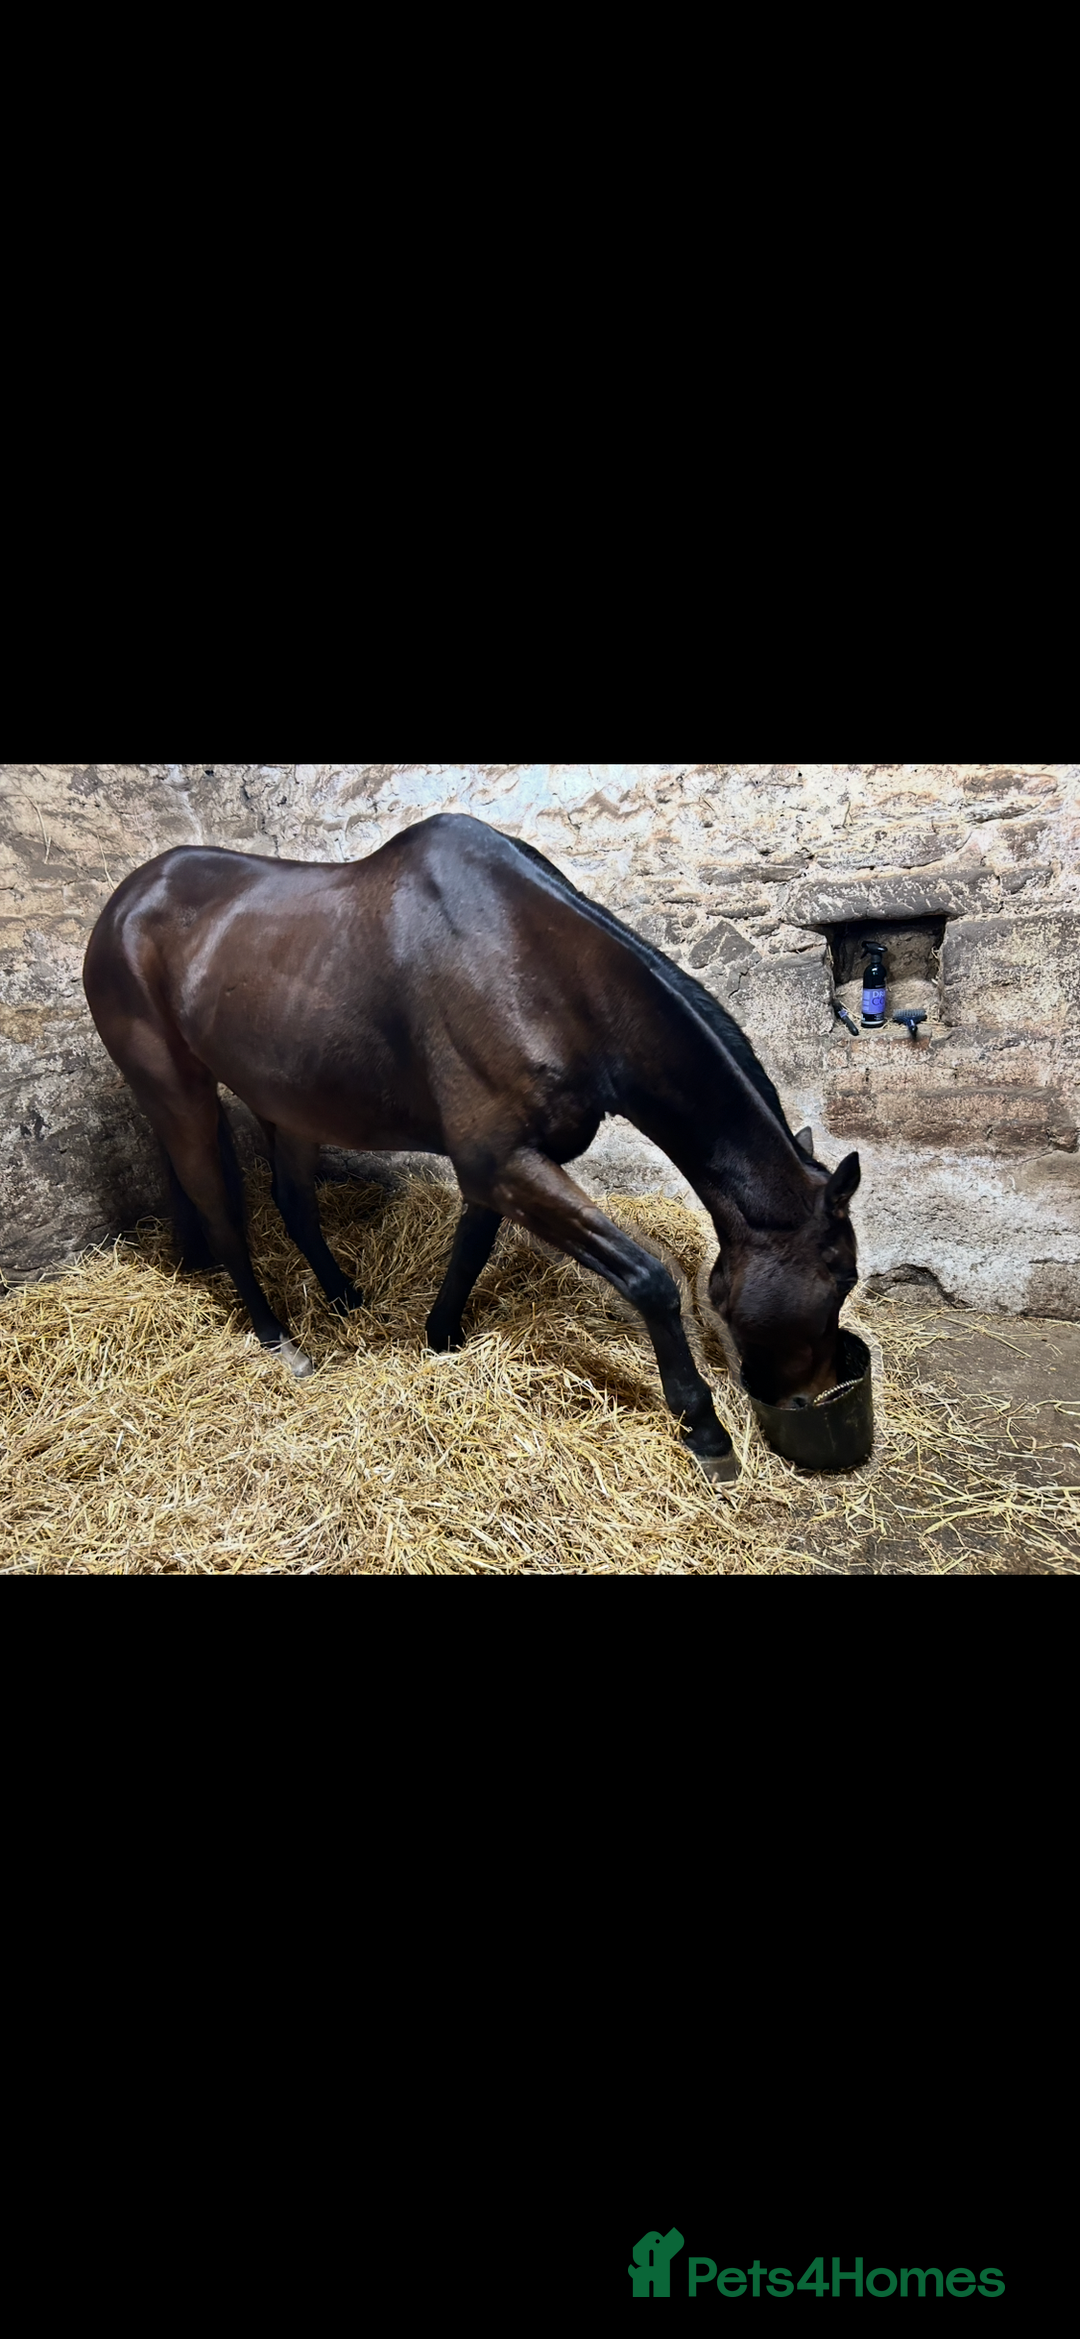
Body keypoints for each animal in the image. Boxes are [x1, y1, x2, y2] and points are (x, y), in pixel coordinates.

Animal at [82, 814, 861, 1483]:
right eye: (841, 1278)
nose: (817, 1394)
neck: (545, 969)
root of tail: (123, 902)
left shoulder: (502, 1167)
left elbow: (472, 1247)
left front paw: (441, 1336)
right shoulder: (503, 1161)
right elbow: (648, 1279)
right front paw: (703, 1428)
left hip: (286, 1101)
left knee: (294, 1203)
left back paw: (343, 1296)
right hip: (179, 1096)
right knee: (223, 1217)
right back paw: (280, 1340)